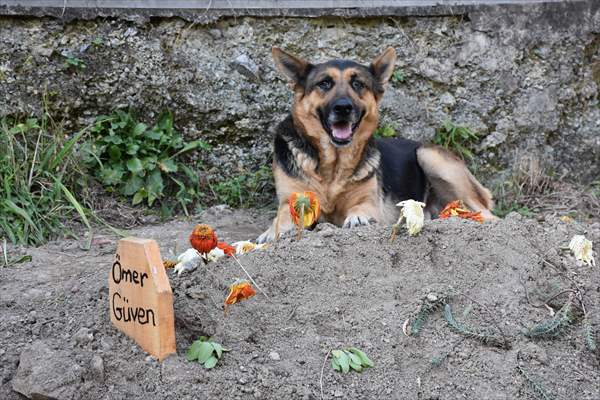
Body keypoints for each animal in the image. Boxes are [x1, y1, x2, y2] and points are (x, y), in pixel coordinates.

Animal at [255, 45, 494, 242]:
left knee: (489, 216)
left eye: (357, 84)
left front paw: (358, 218)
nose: (343, 108)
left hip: (429, 156)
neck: (332, 167)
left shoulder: (369, 202)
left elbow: (362, 209)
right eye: (324, 83)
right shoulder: (292, 202)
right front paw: (271, 232)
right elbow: (282, 217)